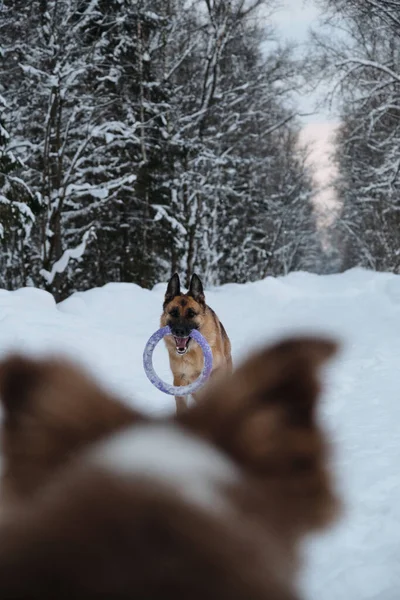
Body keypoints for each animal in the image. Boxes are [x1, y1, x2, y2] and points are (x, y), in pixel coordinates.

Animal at [161, 274, 233, 414]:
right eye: (173, 313)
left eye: (191, 314)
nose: (179, 331)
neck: (194, 350)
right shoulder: (181, 380)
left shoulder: (217, 373)